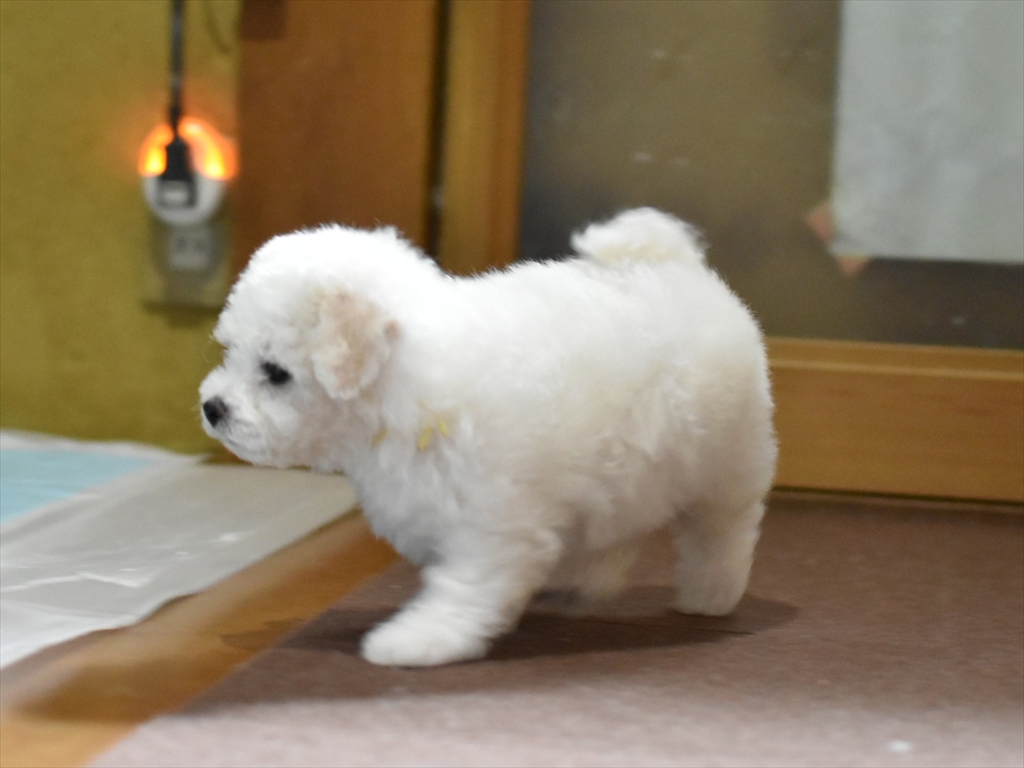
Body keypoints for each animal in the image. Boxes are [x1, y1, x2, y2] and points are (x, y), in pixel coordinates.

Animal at [200, 208, 776, 667]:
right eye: (229, 351)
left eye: (276, 373)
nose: (213, 407)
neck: (407, 384)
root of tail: (681, 267)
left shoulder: (491, 521)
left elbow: (464, 586)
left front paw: (420, 639)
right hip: (627, 470)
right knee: (618, 528)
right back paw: (586, 578)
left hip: (726, 460)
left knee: (722, 531)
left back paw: (711, 591)